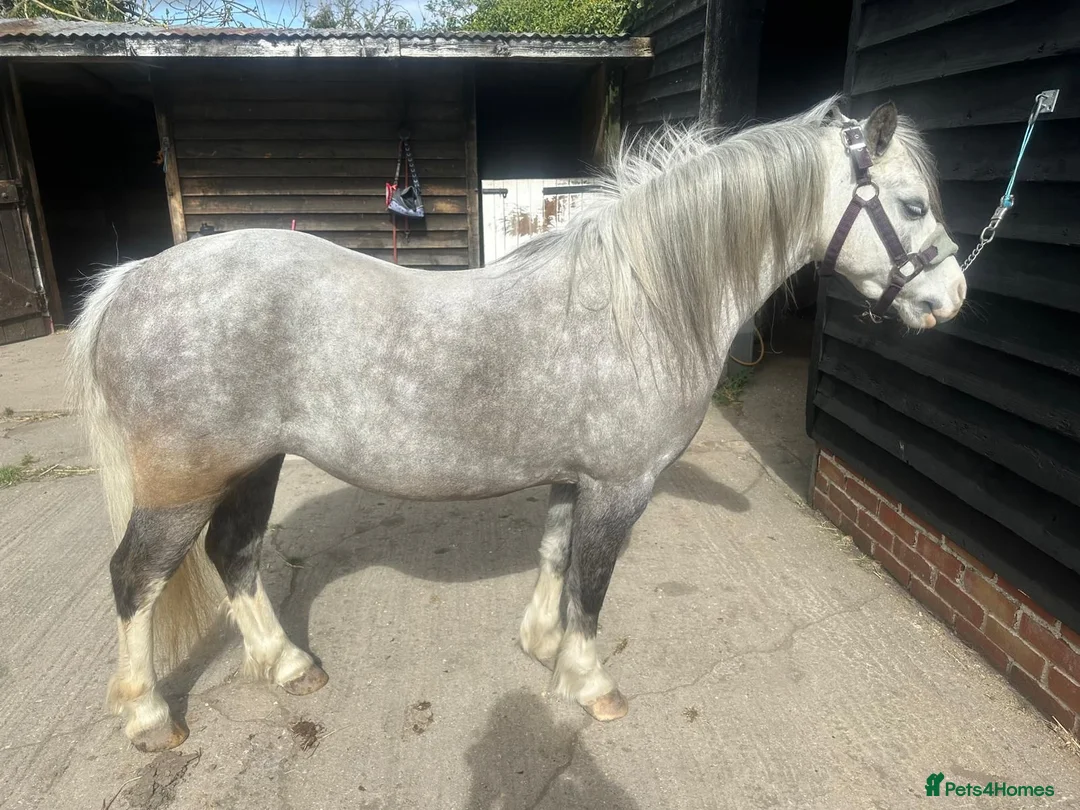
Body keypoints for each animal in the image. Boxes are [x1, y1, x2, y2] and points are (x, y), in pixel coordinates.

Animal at [68, 97, 965, 753]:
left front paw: (540, 645)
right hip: (184, 484)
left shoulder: (575, 477)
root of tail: (134, 279)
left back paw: (287, 666)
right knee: (136, 579)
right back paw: (148, 717)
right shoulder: (621, 487)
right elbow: (593, 587)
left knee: (236, 554)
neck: (640, 299)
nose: (951, 298)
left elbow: (555, 557)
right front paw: (589, 683)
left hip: (254, 464)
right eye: (913, 204)